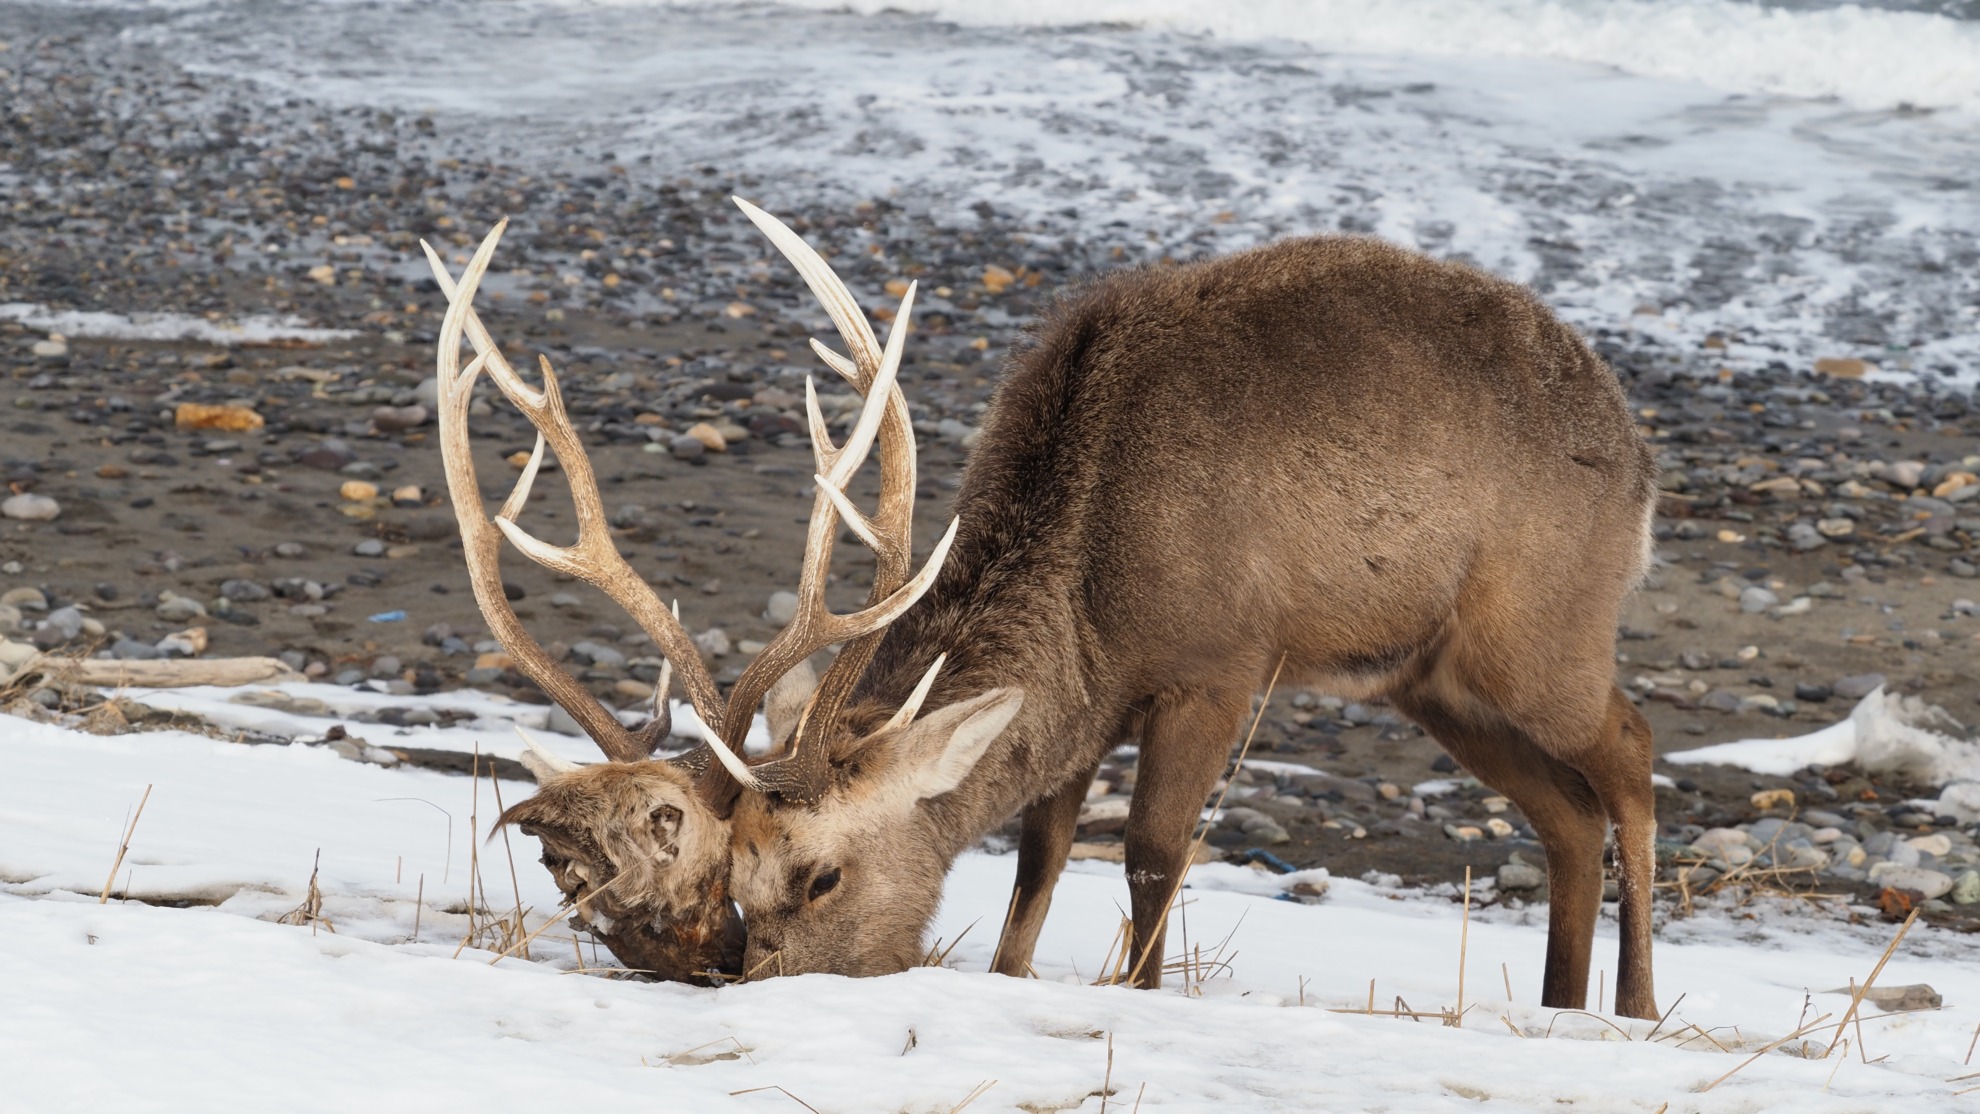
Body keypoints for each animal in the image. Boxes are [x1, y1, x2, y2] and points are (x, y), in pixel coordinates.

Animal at [425, 197, 1663, 1021]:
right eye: (727, 876)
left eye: (818, 873)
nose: (746, 976)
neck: (1094, 589)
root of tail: (1642, 461)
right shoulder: (1087, 704)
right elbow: (1041, 852)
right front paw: (1015, 978)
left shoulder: (1220, 663)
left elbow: (1154, 851)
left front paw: (1141, 994)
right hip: (1432, 680)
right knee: (1567, 812)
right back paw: (1563, 1004)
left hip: (1539, 631)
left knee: (1632, 749)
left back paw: (1640, 1004)